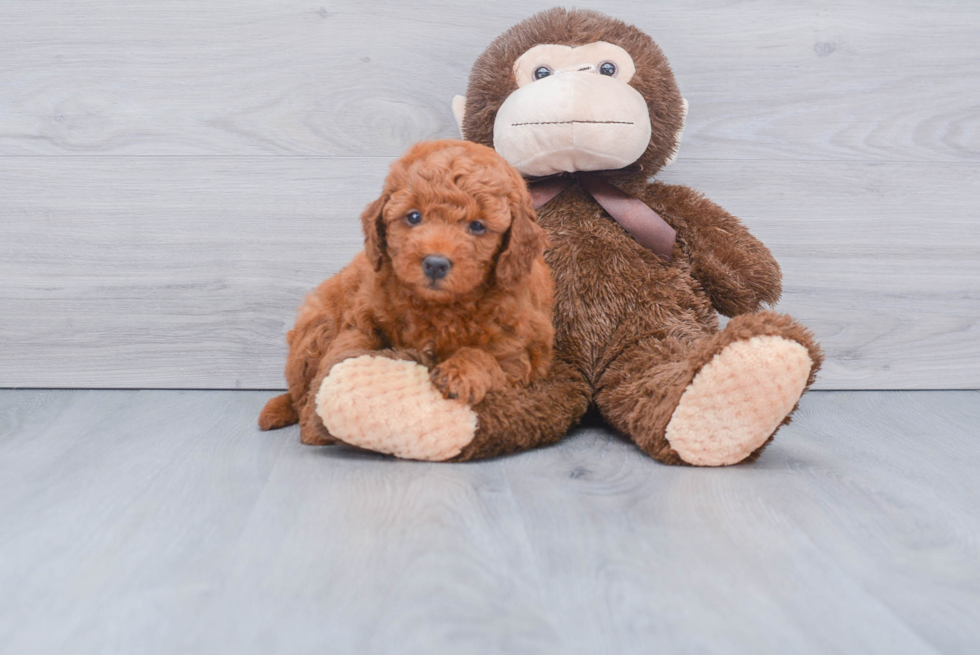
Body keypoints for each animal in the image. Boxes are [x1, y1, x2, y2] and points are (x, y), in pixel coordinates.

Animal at [258, 138, 552, 446]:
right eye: (413, 217)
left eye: (477, 226)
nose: (435, 263)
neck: (439, 307)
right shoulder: (362, 318)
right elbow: (342, 354)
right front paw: (318, 415)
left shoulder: (516, 357)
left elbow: (485, 358)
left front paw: (460, 373)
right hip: (316, 326)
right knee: (298, 390)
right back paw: (278, 409)